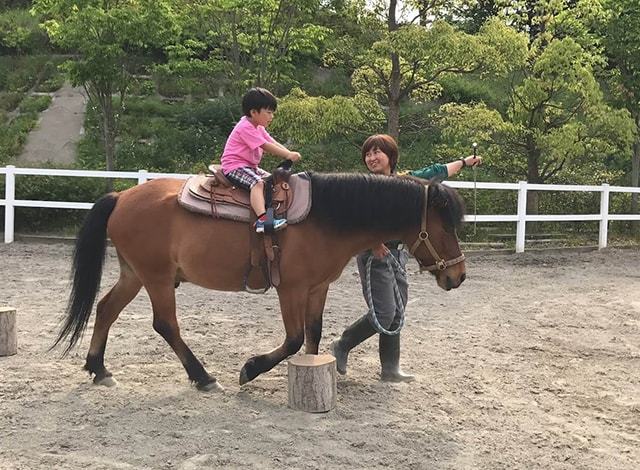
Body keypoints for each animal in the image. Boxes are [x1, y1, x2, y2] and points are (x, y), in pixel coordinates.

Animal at [53, 171, 464, 392]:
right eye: (445, 228)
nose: (458, 276)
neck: (324, 218)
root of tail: (121, 196)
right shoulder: (290, 289)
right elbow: (294, 338)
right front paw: (250, 369)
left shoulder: (318, 288)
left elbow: (313, 335)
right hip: (156, 278)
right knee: (165, 324)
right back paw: (203, 377)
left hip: (134, 274)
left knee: (106, 309)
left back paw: (99, 369)